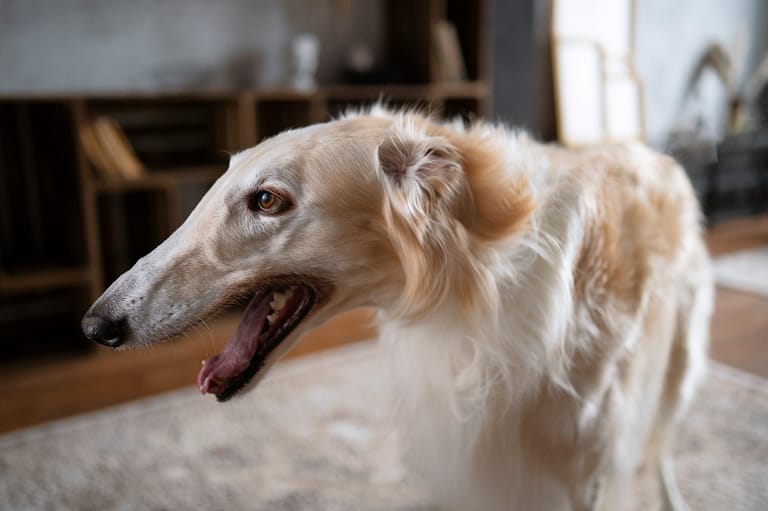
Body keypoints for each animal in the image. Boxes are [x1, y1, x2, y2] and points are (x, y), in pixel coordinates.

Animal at [81, 106, 712, 510]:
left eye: (266, 200)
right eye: (218, 184)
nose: (95, 325)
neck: (475, 282)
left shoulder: (583, 468)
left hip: (680, 369)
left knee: (661, 452)